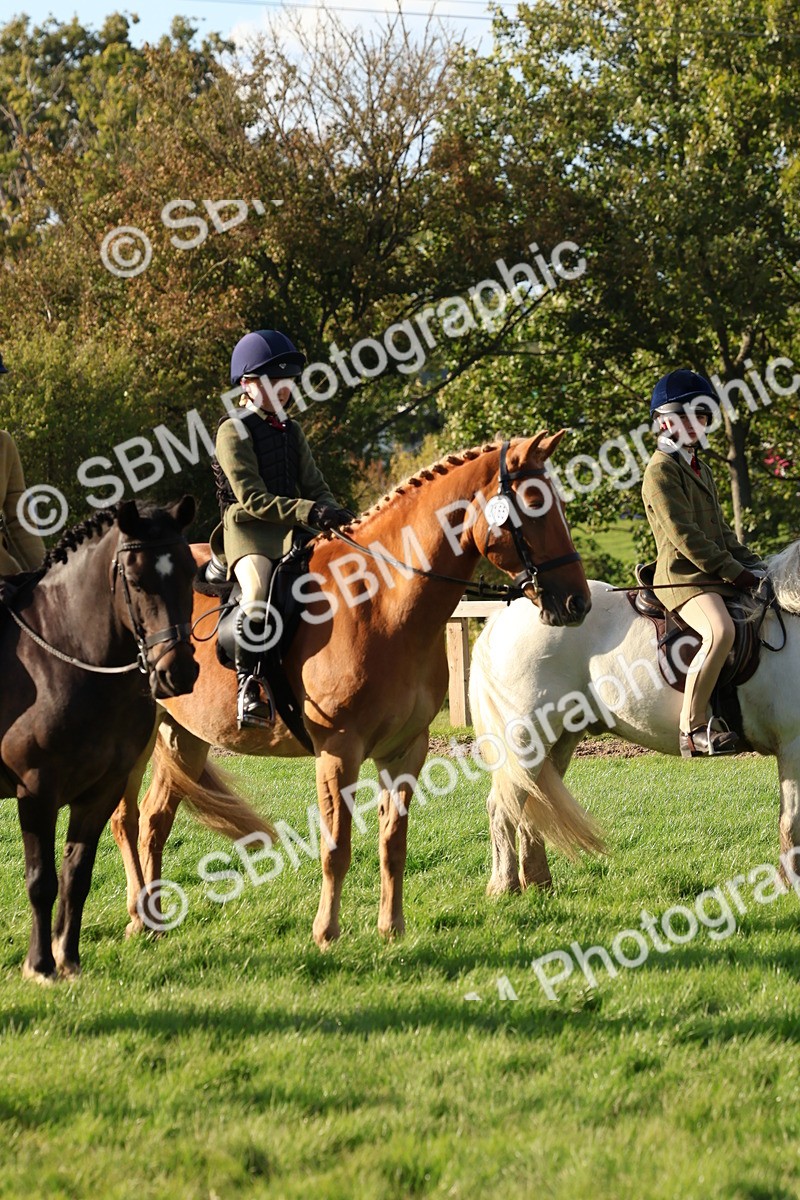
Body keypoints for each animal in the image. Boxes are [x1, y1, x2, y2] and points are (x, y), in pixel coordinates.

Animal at [1, 497, 199, 982]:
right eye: (137, 579)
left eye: (190, 573)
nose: (178, 673)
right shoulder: (36, 791)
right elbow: (41, 881)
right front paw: (39, 965)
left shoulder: (101, 790)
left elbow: (76, 874)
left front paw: (67, 958)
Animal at [111, 433, 592, 947]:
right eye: (534, 506)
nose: (577, 603)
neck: (382, 601)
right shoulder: (339, 750)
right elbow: (336, 846)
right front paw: (326, 933)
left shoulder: (405, 749)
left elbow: (393, 843)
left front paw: (391, 929)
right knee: (126, 820)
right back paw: (137, 918)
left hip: (185, 736)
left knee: (154, 821)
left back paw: (154, 922)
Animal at [468, 559, 800, 896]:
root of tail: (501, 618)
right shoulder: (793, 745)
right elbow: (792, 819)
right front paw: (790, 884)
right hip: (525, 737)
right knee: (503, 807)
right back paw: (504, 887)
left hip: (558, 740)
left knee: (535, 801)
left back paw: (539, 883)